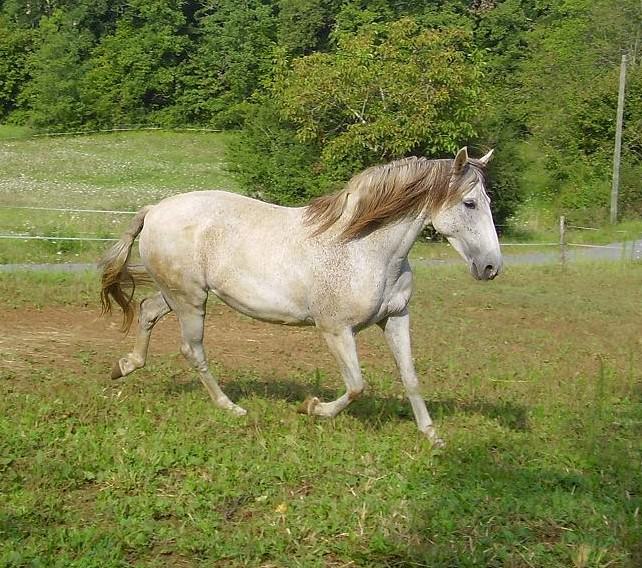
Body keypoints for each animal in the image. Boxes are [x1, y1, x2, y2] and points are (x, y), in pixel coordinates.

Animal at [100, 144, 500, 446]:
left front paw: (432, 436)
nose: (491, 267)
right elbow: (356, 386)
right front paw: (311, 408)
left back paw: (124, 366)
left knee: (146, 310)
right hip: (191, 300)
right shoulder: (336, 330)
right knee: (191, 348)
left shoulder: (395, 318)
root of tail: (155, 209)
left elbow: (410, 377)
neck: (364, 248)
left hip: (176, 295)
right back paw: (231, 407)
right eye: (469, 203)